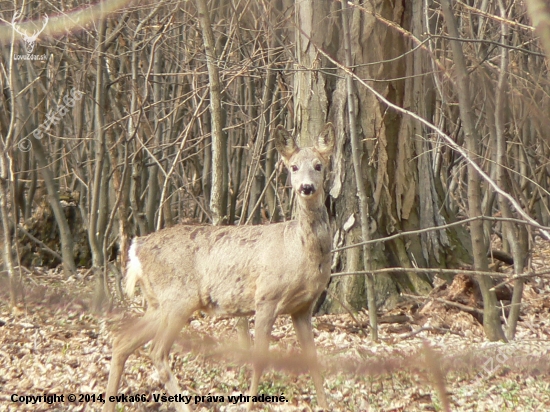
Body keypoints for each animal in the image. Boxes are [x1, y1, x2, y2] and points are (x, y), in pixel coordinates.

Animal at [103, 123, 336, 412]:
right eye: (293, 167)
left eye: (318, 165)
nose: (306, 187)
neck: (301, 252)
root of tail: (137, 248)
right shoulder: (266, 298)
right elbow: (259, 359)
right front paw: (250, 405)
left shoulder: (303, 308)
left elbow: (313, 360)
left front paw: (325, 405)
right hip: (179, 299)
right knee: (156, 351)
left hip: (158, 303)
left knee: (122, 341)